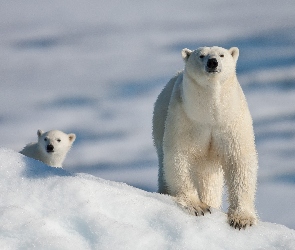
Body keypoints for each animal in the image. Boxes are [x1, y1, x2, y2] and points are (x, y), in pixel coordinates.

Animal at [153, 46, 260, 229]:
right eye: (201, 56)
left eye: (222, 55)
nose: (213, 62)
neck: (210, 114)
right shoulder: (186, 118)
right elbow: (179, 156)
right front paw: (197, 206)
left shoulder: (231, 120)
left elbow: (239, 160)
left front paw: (242, 219)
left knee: (209, 180)